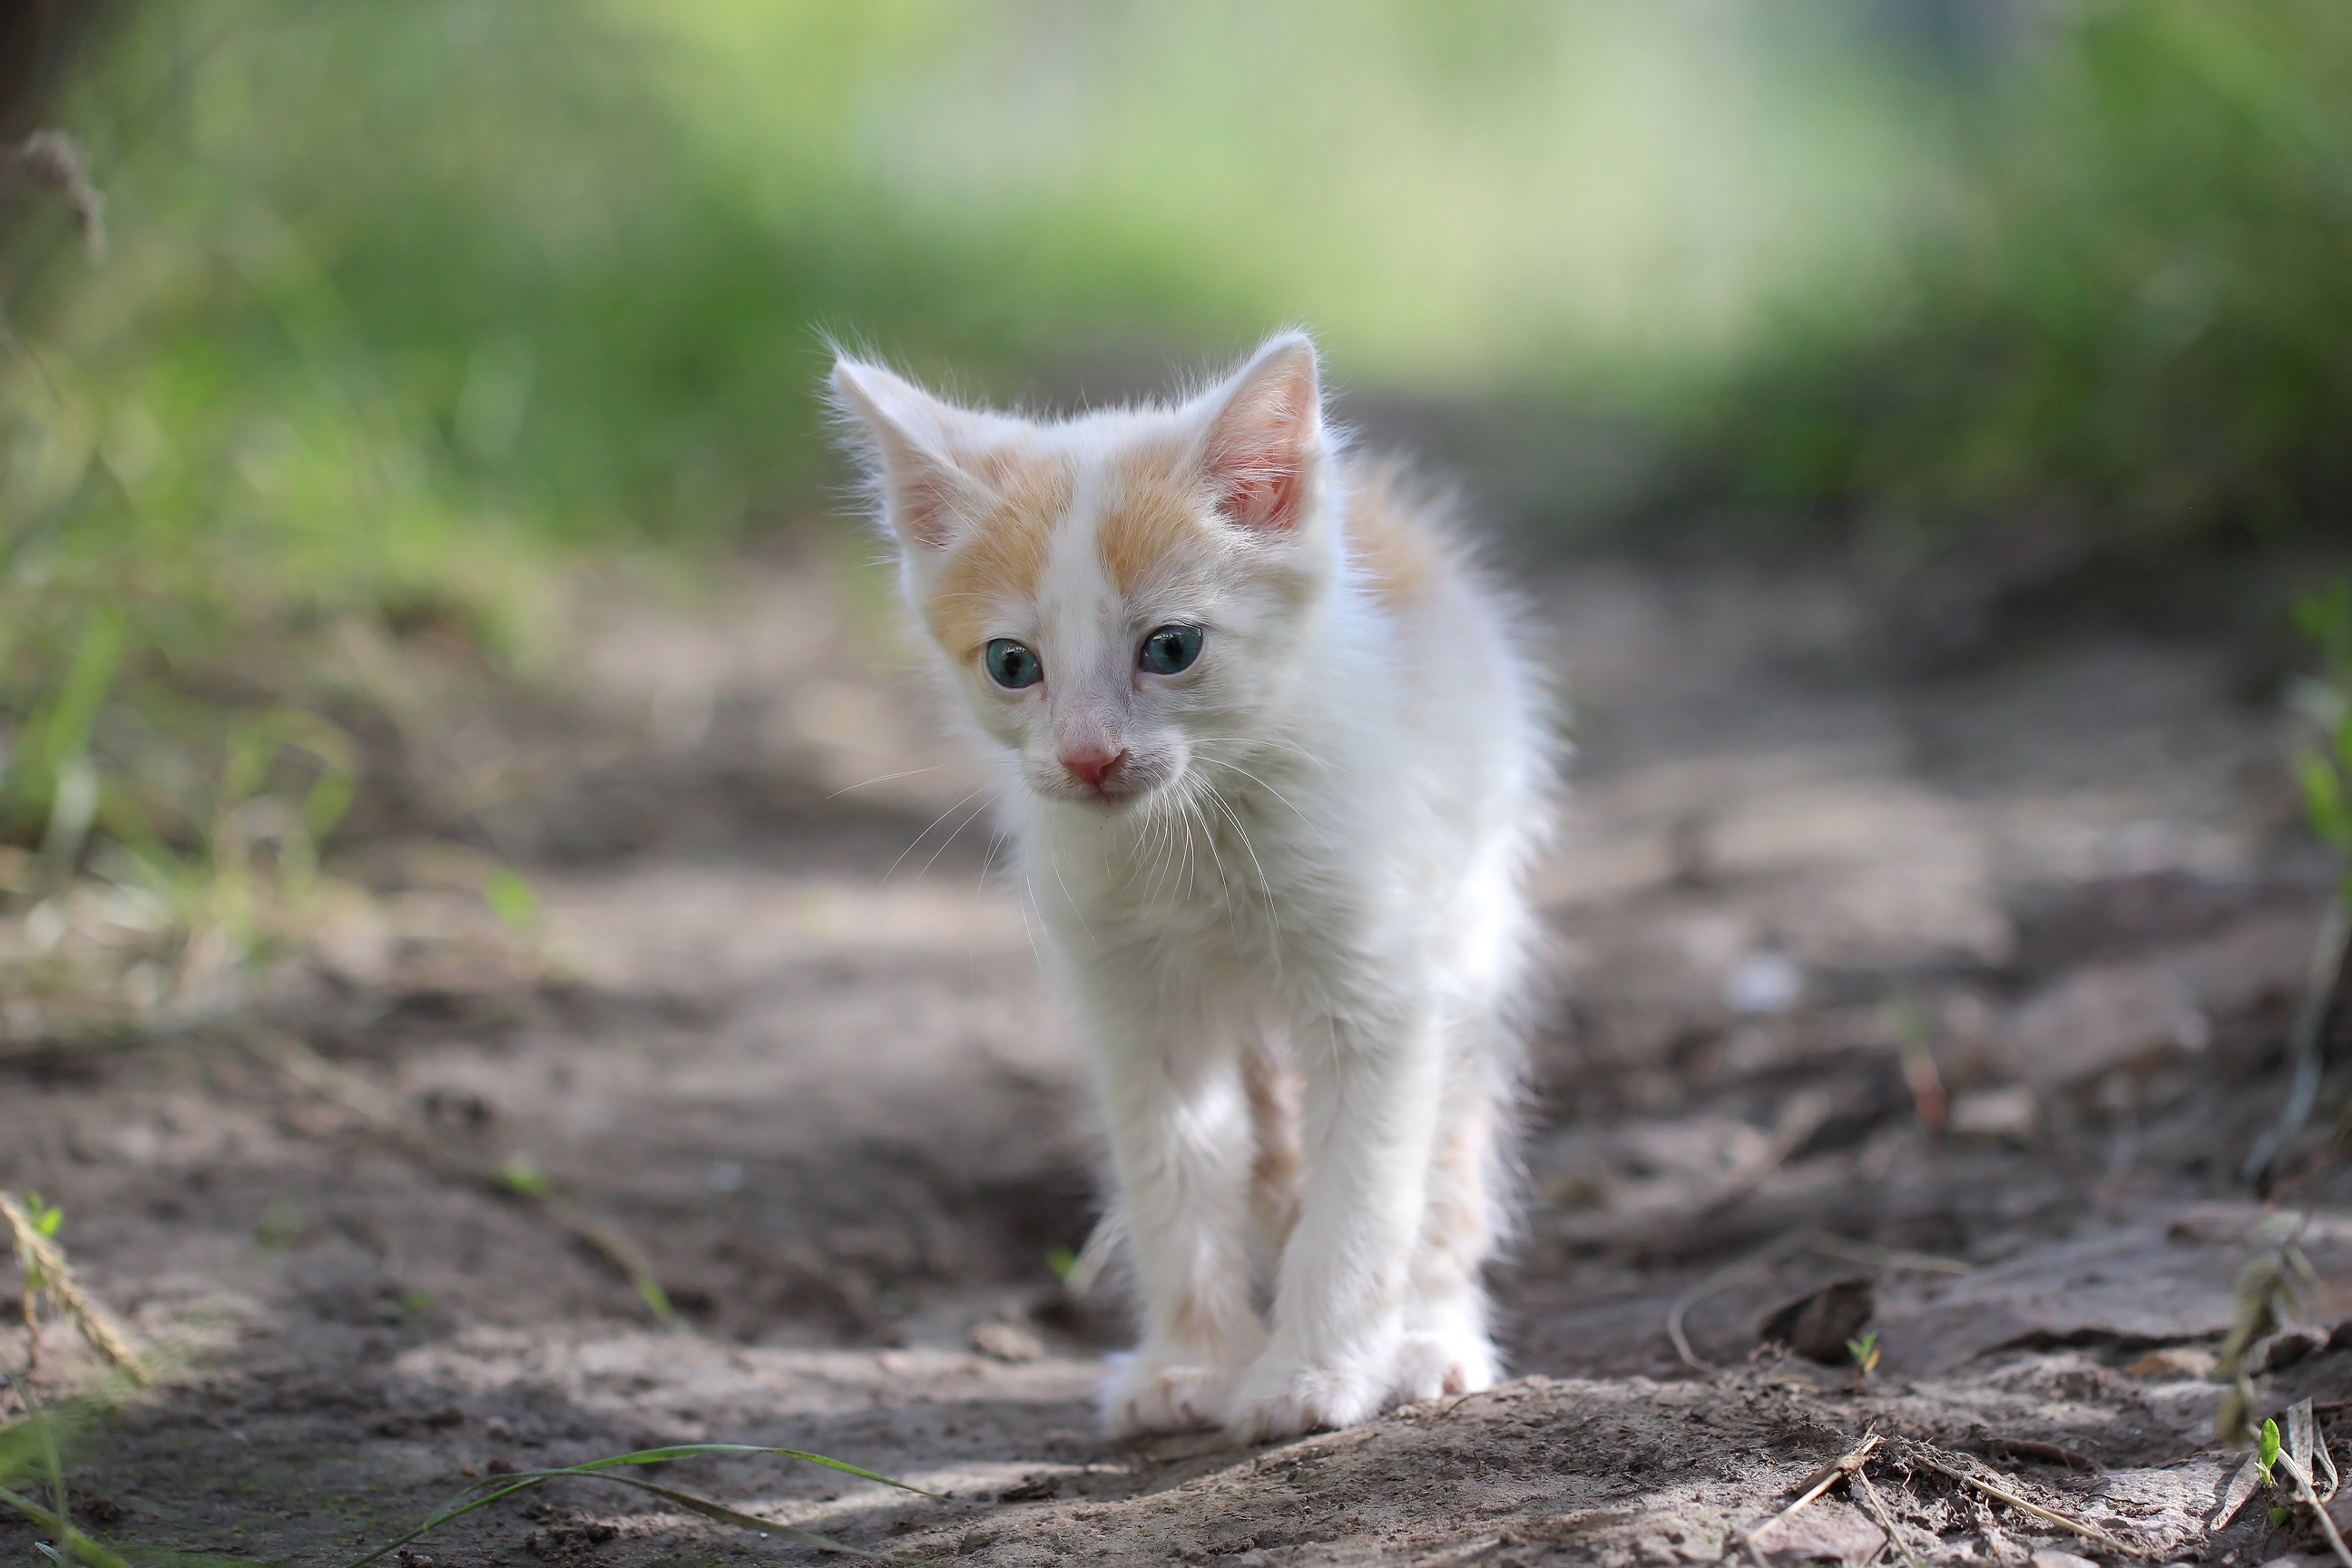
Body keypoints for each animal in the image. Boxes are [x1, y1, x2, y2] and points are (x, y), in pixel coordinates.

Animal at [837, 333, 1552, 1447]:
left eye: (1171, 649)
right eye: (1012, 664)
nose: (1088, 758)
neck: (1191, 839)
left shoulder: (1381, 988)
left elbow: (1365, 1190)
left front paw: (1313, 1374)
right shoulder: (1132, 998)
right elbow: (1173, 1170)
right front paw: (1189, 1367)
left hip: (1472, 907)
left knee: (1452, 1151)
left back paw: (1432, 1338)